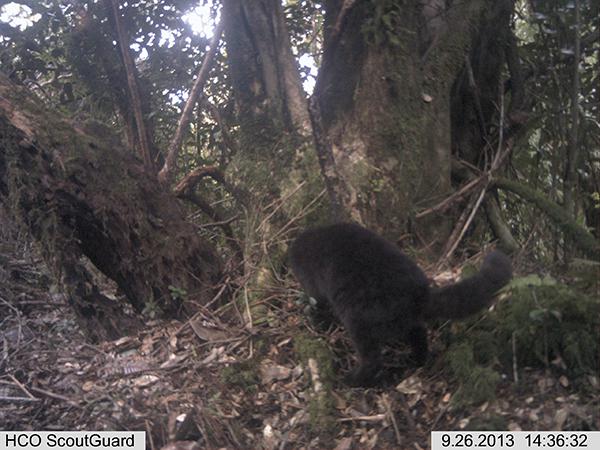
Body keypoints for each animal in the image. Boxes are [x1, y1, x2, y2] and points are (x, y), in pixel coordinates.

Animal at [288, 223, 512, 384]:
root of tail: (419, 293)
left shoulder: (315, 287)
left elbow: (319, 305)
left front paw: (317, 320)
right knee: (418, 332)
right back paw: (418, 360)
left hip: (359, 320)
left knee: (372, 359)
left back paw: (352, 380)